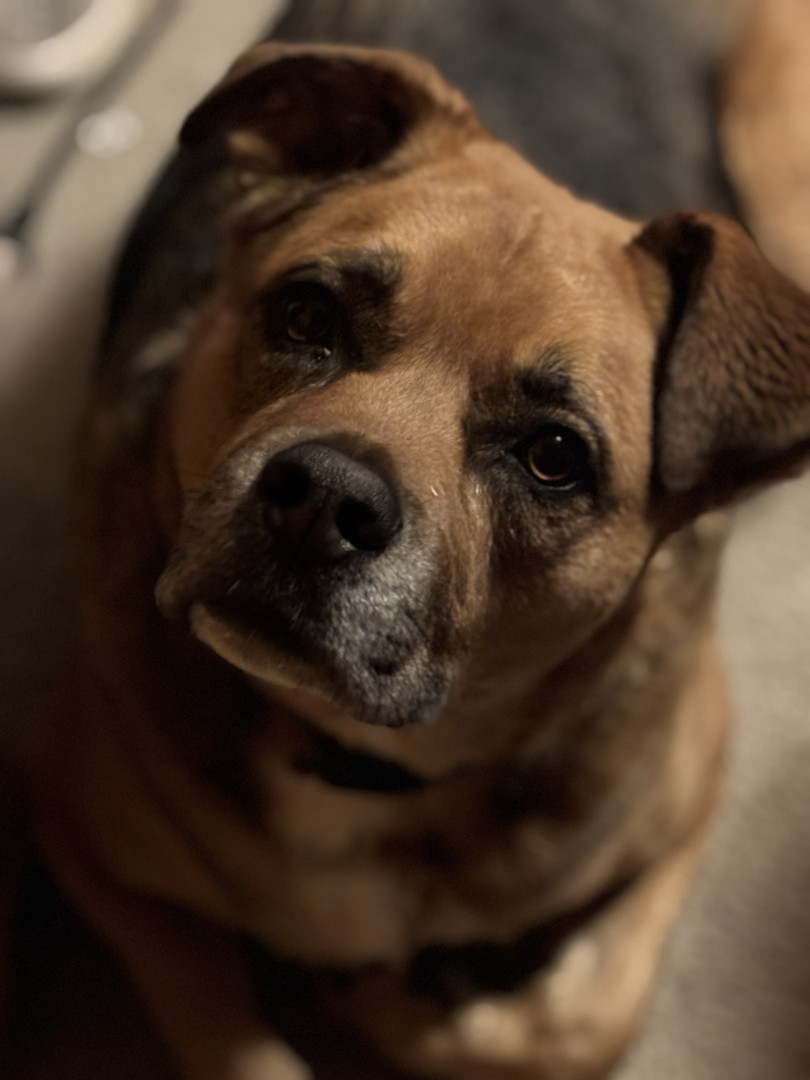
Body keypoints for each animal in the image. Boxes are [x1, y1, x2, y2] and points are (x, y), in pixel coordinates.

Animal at [4, 2, 810, 1078]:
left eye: (555, 455)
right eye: (307, 312)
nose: (319, 498)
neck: (366, 765)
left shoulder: (693, 785)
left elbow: (571, 1022)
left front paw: (400, 998)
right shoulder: (79, 824)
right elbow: (240, 1041)